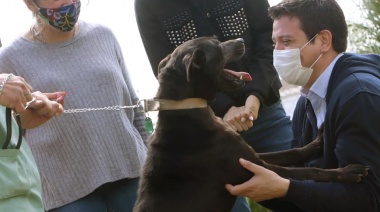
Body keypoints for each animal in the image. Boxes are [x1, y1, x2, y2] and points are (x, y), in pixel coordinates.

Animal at [133, 36, 368, 212]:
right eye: (217, 47)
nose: (240, 40)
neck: (190, 108)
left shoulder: (252, 157)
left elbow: (293, 153)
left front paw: (317, 144)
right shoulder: (257, 168)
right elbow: (310, 173)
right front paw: (348, 172)